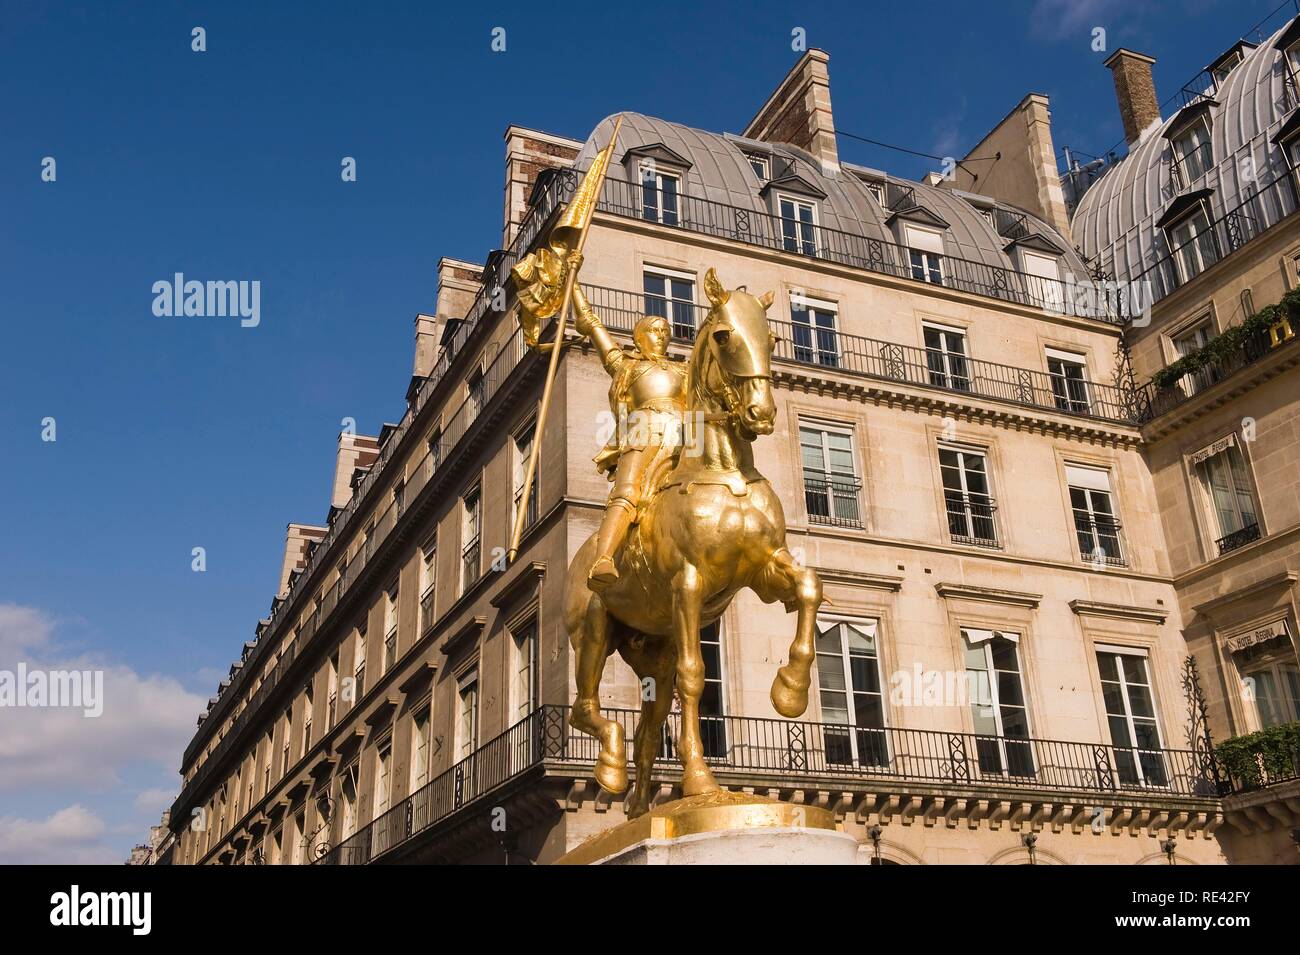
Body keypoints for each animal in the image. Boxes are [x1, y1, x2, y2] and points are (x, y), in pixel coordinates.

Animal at [564, 270, 826, 821]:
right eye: (724, 336)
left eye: (773, 338)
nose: (761, 413)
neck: (725, 472)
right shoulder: (688, 582)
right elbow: (695, 677)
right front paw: (702, 782)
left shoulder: (764, 569)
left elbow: (810, 587)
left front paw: (790, 690)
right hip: (595, 625)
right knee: (585, 706)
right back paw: (609, 767)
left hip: (652, 651)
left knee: (647, 731)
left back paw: (641, 809)